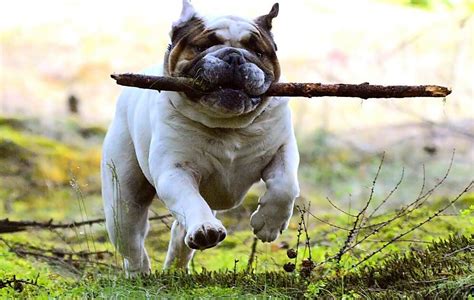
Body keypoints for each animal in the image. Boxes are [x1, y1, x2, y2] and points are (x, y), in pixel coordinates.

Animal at [101, 0, 298, 276]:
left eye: (258, 52)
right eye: (202, 46)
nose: (234, 56)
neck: (227, 126)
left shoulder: (282, 149)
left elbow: (285, 185)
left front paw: (268, 224)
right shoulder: (174, 171)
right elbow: (190, 200)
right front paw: (207, 229)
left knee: (179, 231)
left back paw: (176, 268)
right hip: (122, 199)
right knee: (132, 241)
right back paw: (141, 272)